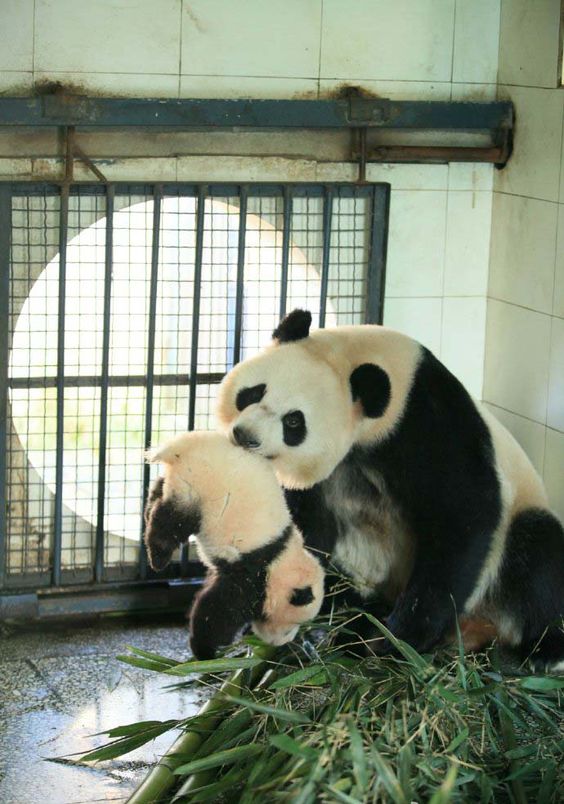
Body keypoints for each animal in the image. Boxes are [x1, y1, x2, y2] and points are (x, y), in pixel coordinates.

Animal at [216, 310, 564, 672]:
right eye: (254, 392)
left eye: (294, 422)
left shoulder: (430, 422)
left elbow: (462, 516)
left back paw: (543, 651)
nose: (245, 436)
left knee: (537, 555)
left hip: (515, 532)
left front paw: (402, 639)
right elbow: (303, 532)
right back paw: (349, 622)